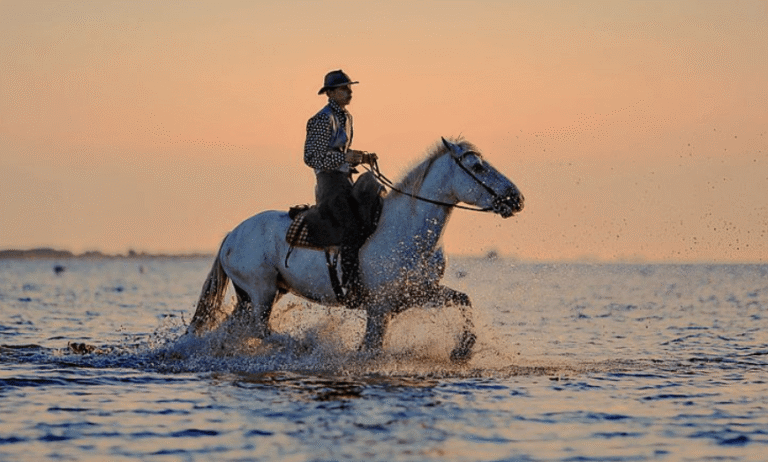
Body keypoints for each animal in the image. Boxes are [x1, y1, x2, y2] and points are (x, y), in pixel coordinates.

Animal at [186, 137, 524, 361]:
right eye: (478, 166)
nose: (516, 198)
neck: (408, 232)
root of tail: (231, 234)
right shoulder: (380, 307)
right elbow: (372, 348)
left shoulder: (418, 293)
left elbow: (463, 300)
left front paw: (462, 349)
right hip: (262, 291)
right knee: (260, 330)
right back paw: (302, 345)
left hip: (257, 295)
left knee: (237, 328)